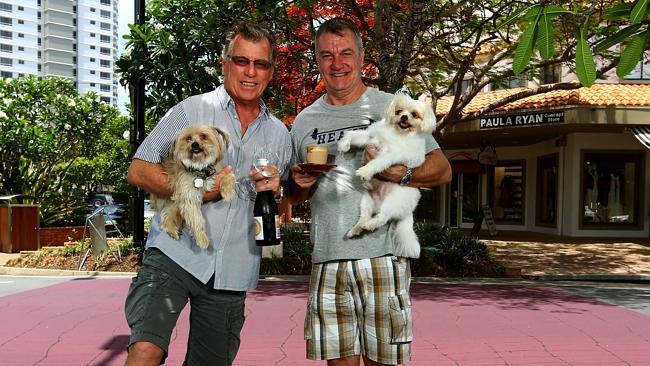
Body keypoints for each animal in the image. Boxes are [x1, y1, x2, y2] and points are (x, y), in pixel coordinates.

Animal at [336, 94, 432, 258]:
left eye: (414, 114)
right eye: (399, 111)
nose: (404, 117)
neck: (397, 132)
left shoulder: (391, 155)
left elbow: (377, 162)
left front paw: (365, 171)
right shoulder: (369, 137)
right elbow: (352, 134)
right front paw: (344, 144)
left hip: (392, 202)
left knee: (382, 217)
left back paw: (370, 225)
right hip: (366, 202)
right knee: (364, 217)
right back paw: (356, 229)